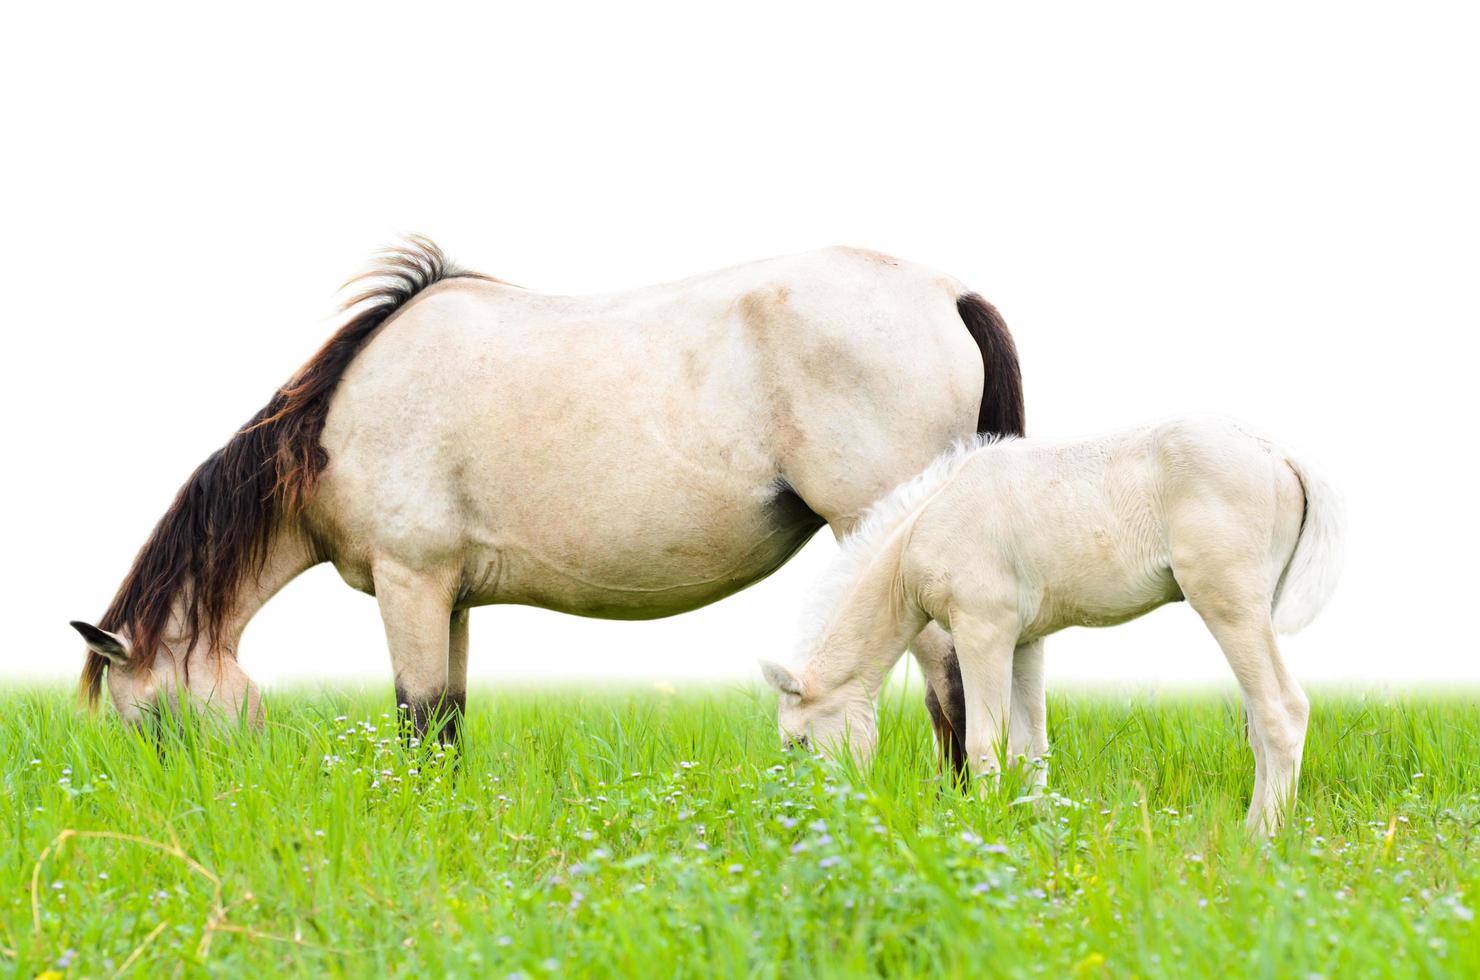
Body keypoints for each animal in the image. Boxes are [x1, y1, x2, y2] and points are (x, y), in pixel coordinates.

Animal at [69, 236, 1018, 757]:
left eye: (153, 722)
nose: (203, 801)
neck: (342, 422)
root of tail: (948, 294)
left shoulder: (409, 584)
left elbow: (417, 721)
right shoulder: (447, 597)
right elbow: (447, 722)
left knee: (955, 693)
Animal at [769, 417, 1349, 834]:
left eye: (798, 743)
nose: (819, 814)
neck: (924, 527)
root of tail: (1278, 455)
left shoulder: (982, 630)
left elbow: (985, 743)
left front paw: (986, 830)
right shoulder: (1025, 640)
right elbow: (1031, 746)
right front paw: (1034, 825)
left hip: (1229, 606)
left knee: (1281, 710)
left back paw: (1263, 840)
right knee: (1258, 722)